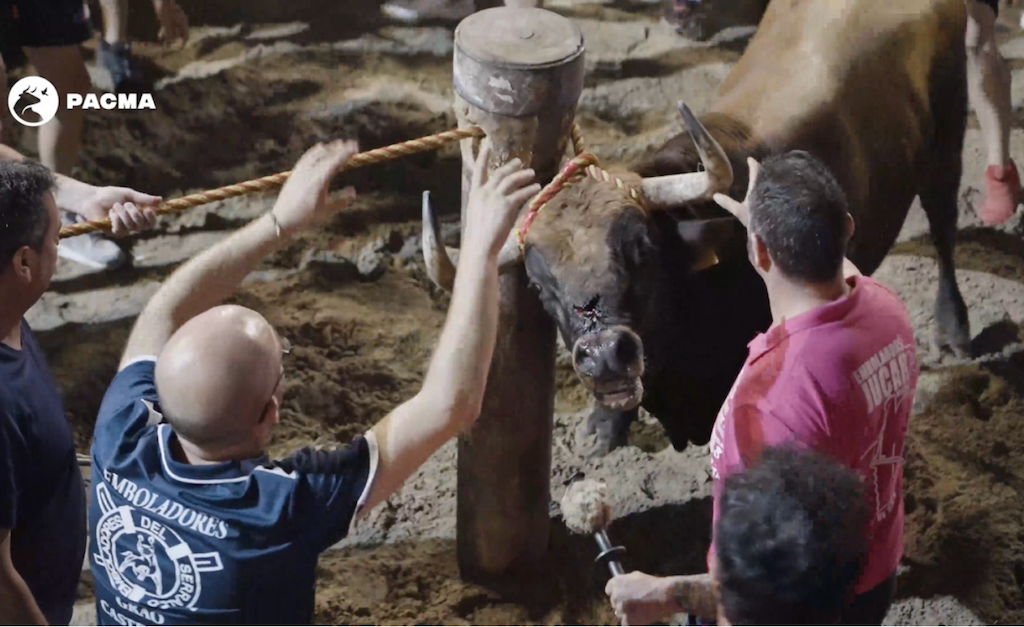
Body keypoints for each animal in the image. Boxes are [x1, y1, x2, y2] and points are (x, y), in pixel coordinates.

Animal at [419, 0, 962, 452]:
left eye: (641, 249)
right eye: (538, 283)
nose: (606, 353)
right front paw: (602, 428)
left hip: (946, 140)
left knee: (944, 225)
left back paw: (954, 327)